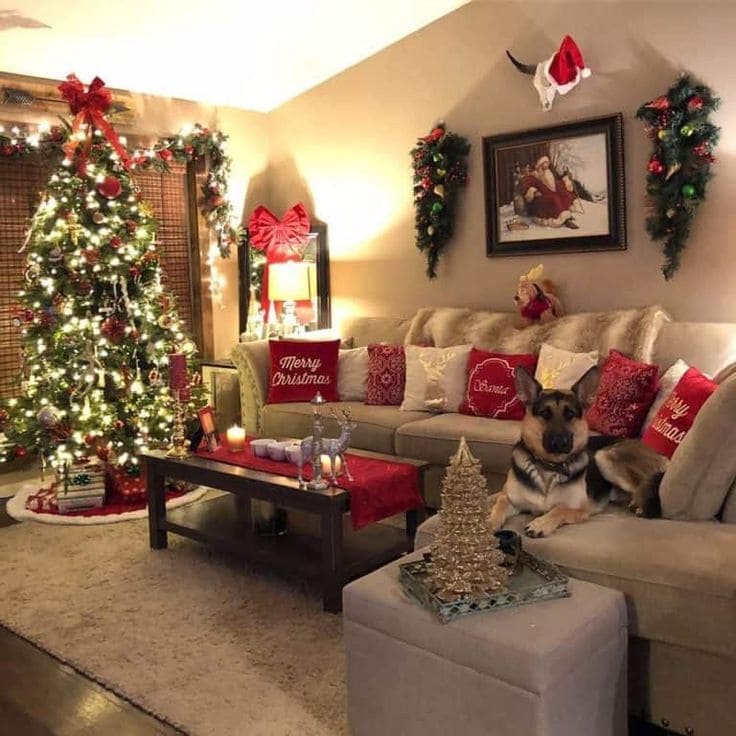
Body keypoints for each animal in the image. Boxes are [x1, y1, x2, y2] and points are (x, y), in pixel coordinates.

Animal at [488, 366, 668, 536]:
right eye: (545, 413)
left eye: (570, 414)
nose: (560, 443)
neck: (549, 467)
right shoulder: (512, 500)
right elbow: (501, 502)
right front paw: (490, 522)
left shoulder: (580, 510)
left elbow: (559, 509)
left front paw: (540, 524)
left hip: (603, 456)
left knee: (644, 485)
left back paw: (639, 505)